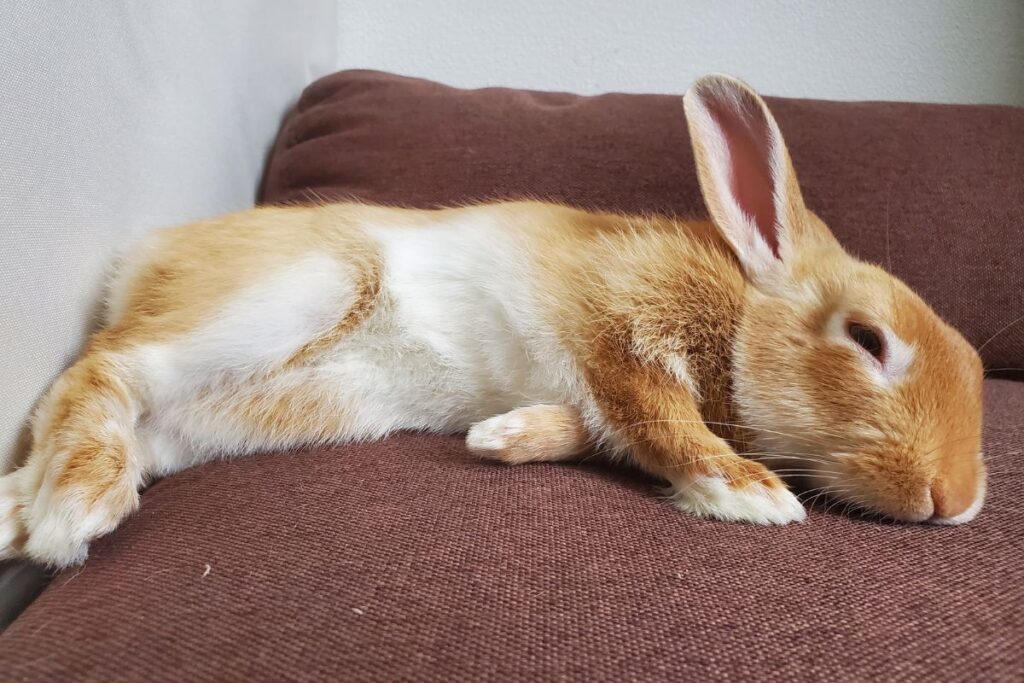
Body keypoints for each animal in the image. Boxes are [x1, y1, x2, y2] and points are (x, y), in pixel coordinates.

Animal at [0, 74, 985, 568]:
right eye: (868, 340)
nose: (957, 501)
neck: (740, 314)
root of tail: (140, 262)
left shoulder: (595, 397)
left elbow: (597, 430)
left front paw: (498, 438)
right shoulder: (616, 327)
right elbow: (657, 416)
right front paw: (752, 494)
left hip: (272, 406)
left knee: (128, 421)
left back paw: (22, 513)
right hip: (299, 293)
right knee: (105, 367)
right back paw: (73, 512)